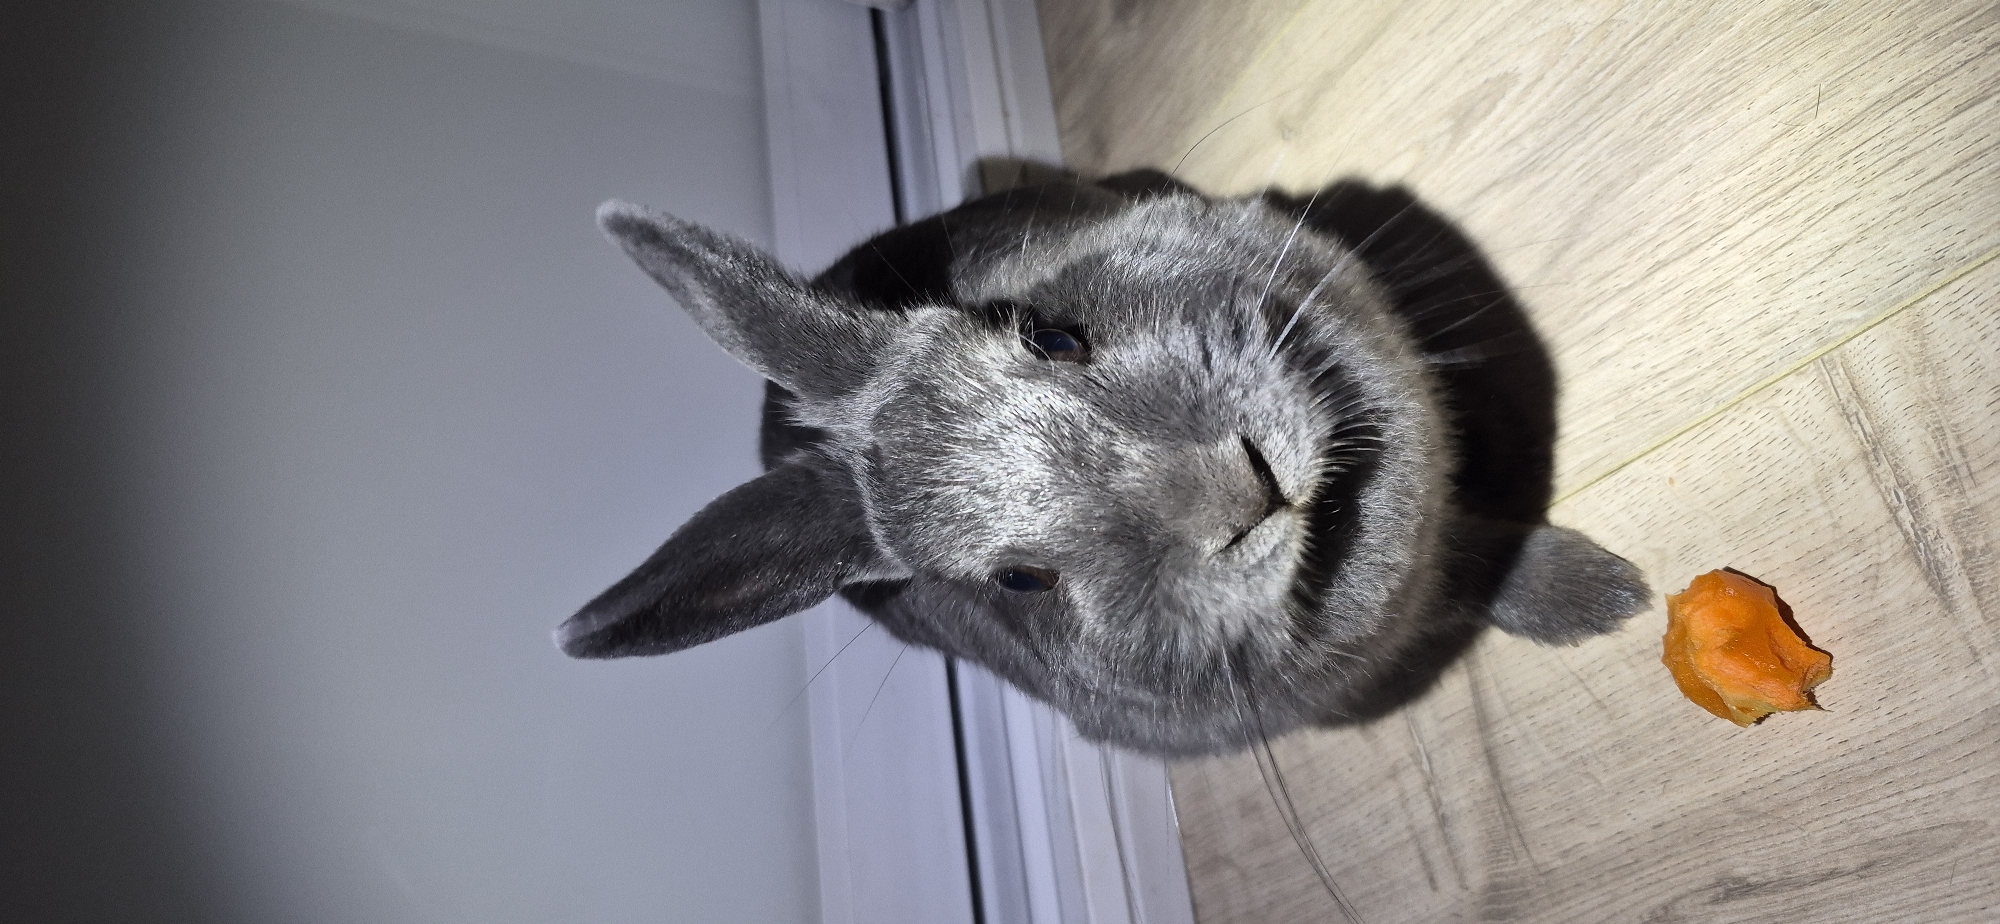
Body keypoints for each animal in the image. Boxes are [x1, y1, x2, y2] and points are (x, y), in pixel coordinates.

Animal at [554, 171, 1650, 757]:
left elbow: (1471, 540)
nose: (1238, 492)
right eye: (1017, 581)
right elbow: (1466, 561)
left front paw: (1599, 588)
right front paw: (1609, 600)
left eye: (1048, 335)